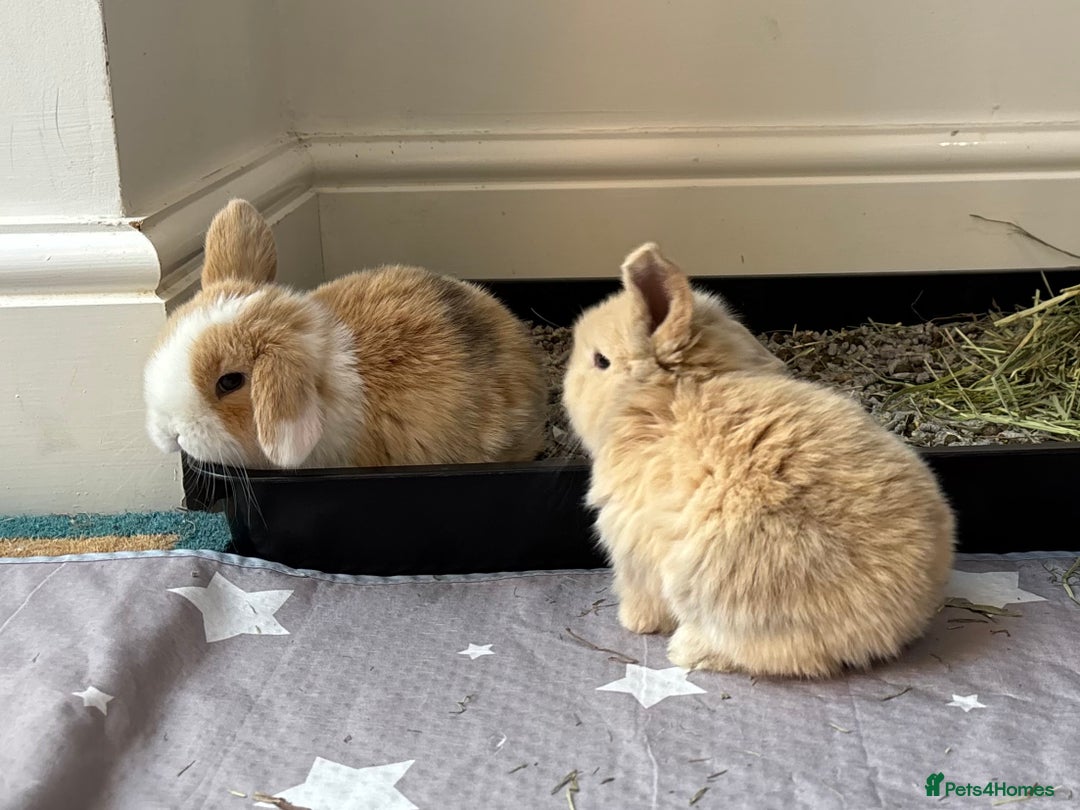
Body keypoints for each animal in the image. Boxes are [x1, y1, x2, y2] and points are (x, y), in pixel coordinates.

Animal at [561, 242, 955, 678]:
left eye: (601, 361)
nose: (565, 386)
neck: (671, 398)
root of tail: (903, 618)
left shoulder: (633, 549)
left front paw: (634, 622)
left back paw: (687, 650)